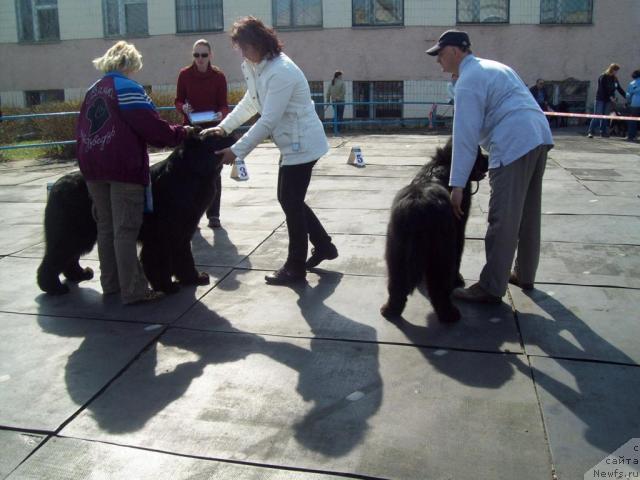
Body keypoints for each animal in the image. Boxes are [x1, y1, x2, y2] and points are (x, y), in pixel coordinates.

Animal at [36, 133, 235, 294]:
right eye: (217, 139)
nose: (234, 135)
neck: (188, 175)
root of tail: (56, 186)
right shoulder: (161, 237)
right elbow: (158, 262)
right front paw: (166, 286)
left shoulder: (182, 233)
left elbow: (185, 258)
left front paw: (193, 278)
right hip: (73, 233)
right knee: (55, 257)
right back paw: (53, 287)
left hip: (80, 235)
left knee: (68, 257)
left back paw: (78, 275)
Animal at [380, 138, 490, 322]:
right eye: (479, 155)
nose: (489, 159)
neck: (445, 163)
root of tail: (416, 205)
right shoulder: (459, 228)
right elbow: (458, 255)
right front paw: (458, 279)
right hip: (441, 250)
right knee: (439, 288)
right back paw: (450, 315)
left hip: (396, 250)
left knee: (396, 285)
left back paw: (390, 310)